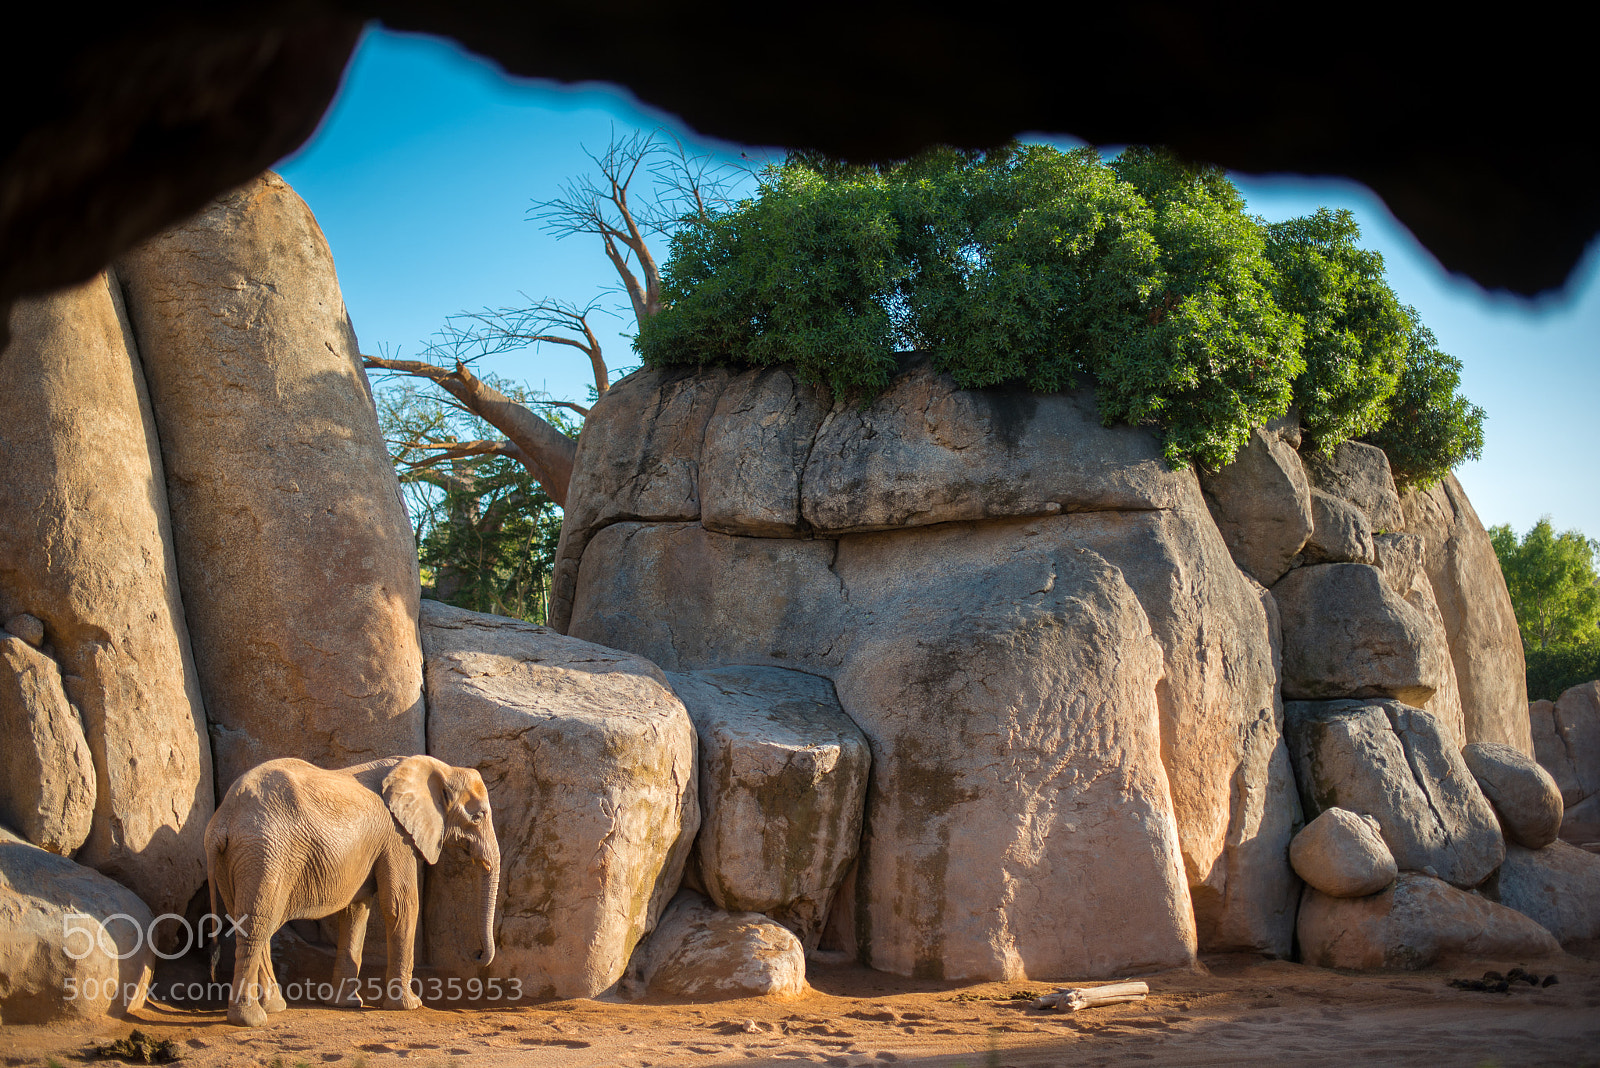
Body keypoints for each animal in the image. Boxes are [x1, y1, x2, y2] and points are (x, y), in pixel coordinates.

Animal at [204, 754, 499, 1027]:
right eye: (478, 816)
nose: (477, 955)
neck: (440, 767)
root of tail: (224, 819)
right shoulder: (396, 836)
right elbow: (400, 905)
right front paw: (410, 1005)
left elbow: (356, 910)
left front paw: (345, 1004)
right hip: (265, 854)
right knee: (257, 925)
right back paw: (251, 1019)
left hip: (236, 861)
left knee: (251, 920)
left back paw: (274, 1007)